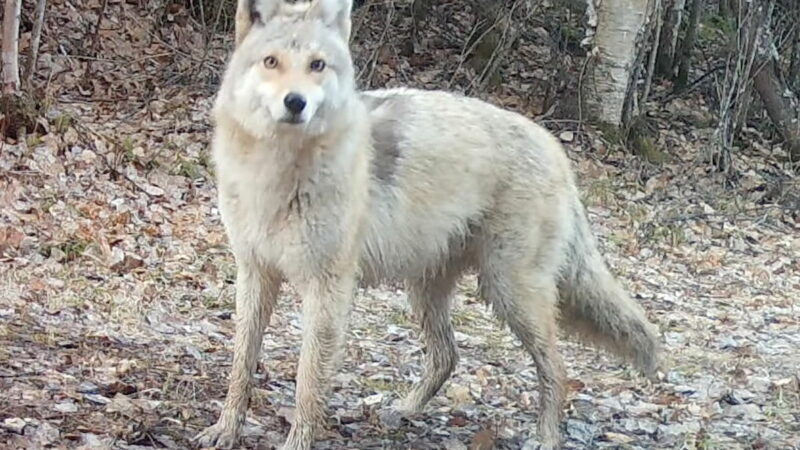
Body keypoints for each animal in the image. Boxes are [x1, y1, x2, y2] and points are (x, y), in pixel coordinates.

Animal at [192, 0, 656, 448]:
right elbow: (241, 365)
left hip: (508, 293)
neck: (277, 172)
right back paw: (403, 410)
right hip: (428, 290)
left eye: (317, 65)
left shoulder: (327, 290)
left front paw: (296, 442)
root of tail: (554, 148)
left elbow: (308, 383)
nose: (296, 102)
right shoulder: (255, 274)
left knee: (557, 370)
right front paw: (225, 430)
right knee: (449, 355)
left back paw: (545, 439)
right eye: (271, 62)